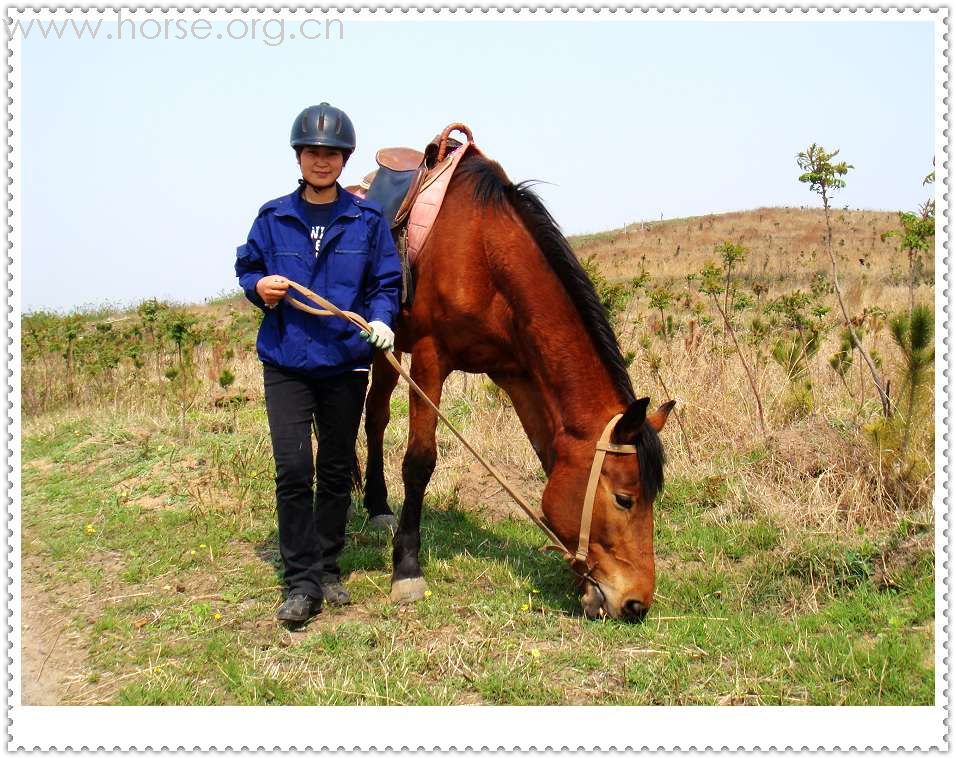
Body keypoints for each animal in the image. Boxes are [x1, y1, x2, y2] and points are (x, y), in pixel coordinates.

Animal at [360, 153, 672, 624]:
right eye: (624, 499)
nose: (636, 604)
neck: (485, 252)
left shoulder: (517, 374)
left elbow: (548, 455)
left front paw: (581, 581)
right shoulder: (431, 359)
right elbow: (419, 461)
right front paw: (407, 568)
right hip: (387, 344)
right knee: (375, 416)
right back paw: (376, 504)